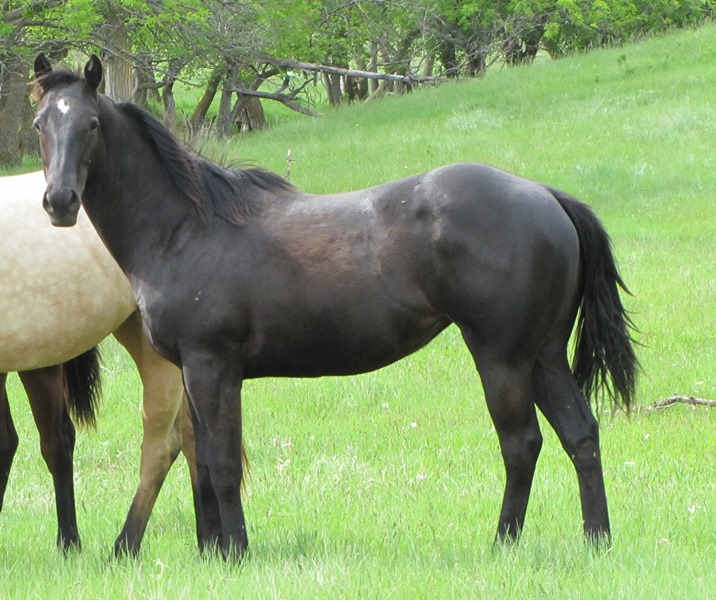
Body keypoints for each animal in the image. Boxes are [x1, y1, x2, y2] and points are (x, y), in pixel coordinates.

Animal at [32, 54, 636, 560]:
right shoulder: (191, 371)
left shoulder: (213, 366)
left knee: (521, 444)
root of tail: (545, 194)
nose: (59, 203)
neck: (186, 228)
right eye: (41, 124)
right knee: (580, 435)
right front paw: (215, 553)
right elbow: (200, 460)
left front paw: (237, 553)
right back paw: (597, 541)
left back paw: (504, 544)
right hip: (544, 356)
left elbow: (222, 464)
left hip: (502, 358)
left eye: (90, 124)